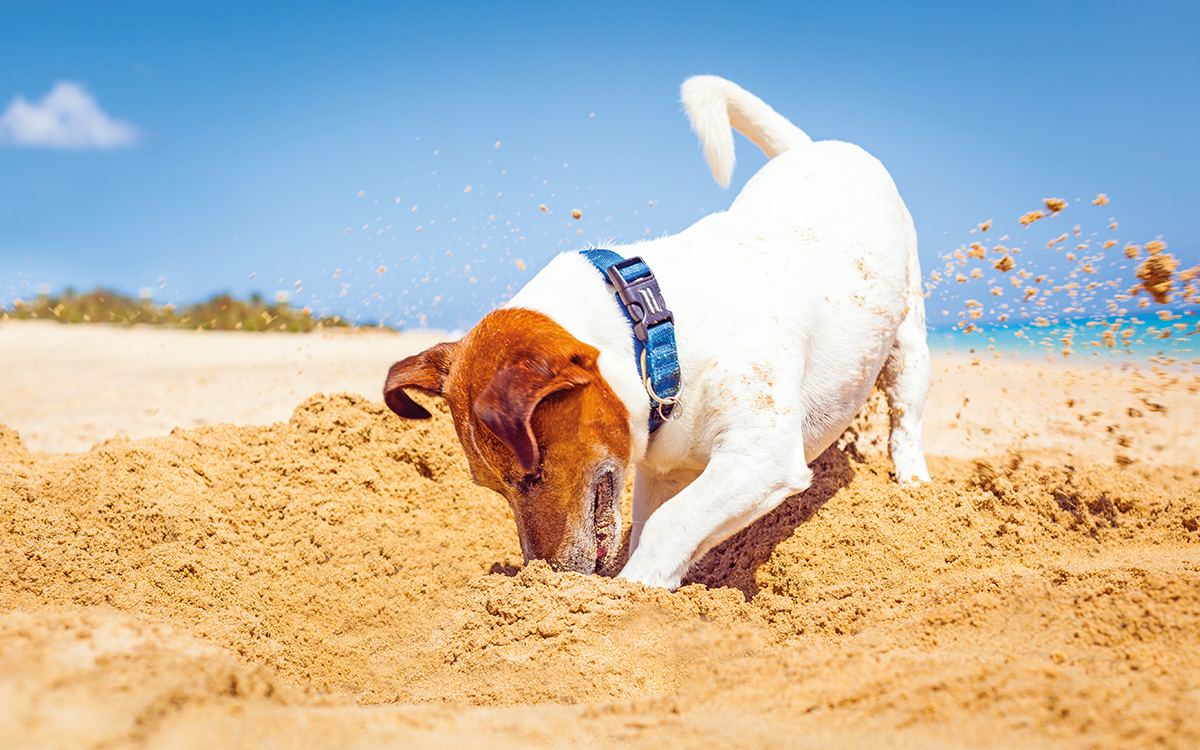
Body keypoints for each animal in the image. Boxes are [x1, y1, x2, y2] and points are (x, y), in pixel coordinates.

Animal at [384, 76, 926, 590]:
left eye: (532, 475)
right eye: (492, 486)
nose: (544, 575)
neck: (658, 337)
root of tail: (813, 147)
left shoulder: (761, 454)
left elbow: (671, 525)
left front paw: (632, 590)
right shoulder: (661, 470)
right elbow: (658, 528)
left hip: (909, 340)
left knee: (906, 418)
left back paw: (914, 484)